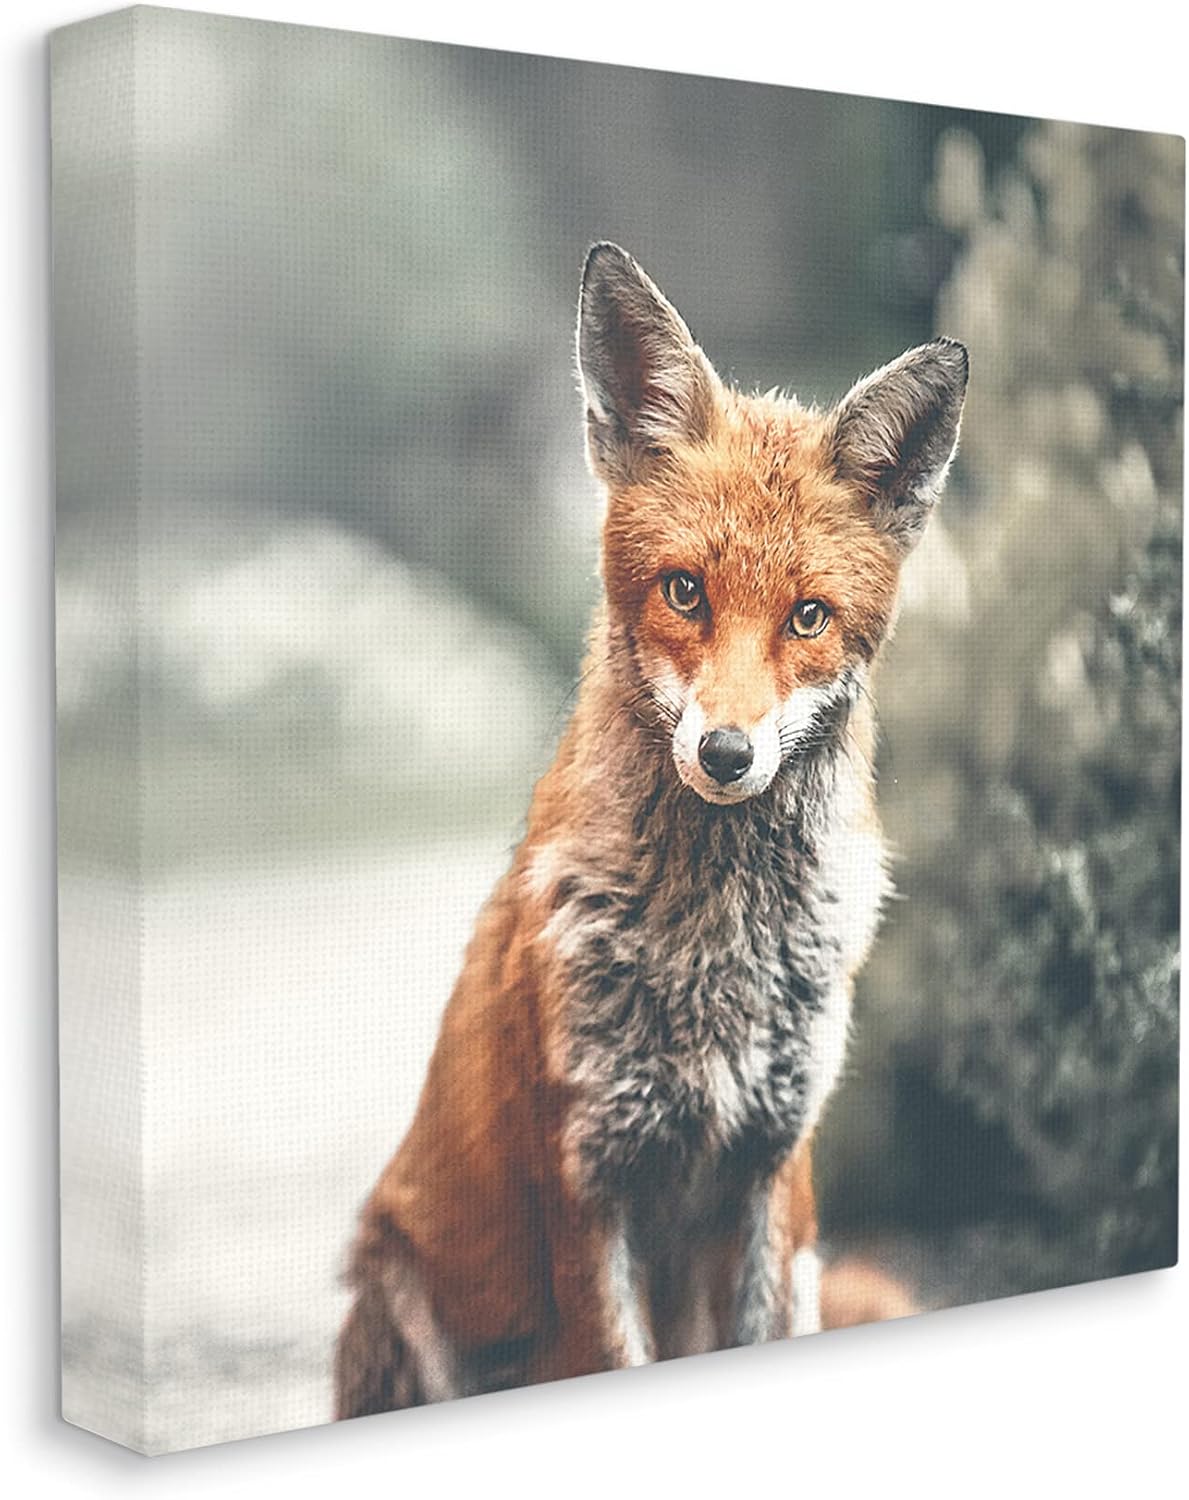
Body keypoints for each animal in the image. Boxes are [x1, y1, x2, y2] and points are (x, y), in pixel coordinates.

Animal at [334, 242, 967, 1418]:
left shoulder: (774, 1165)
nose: (724, 754)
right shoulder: (587, 1180)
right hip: (399, 1286)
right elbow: (609, 1351)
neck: (716, 954)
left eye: (807, 617)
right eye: (684, 592)